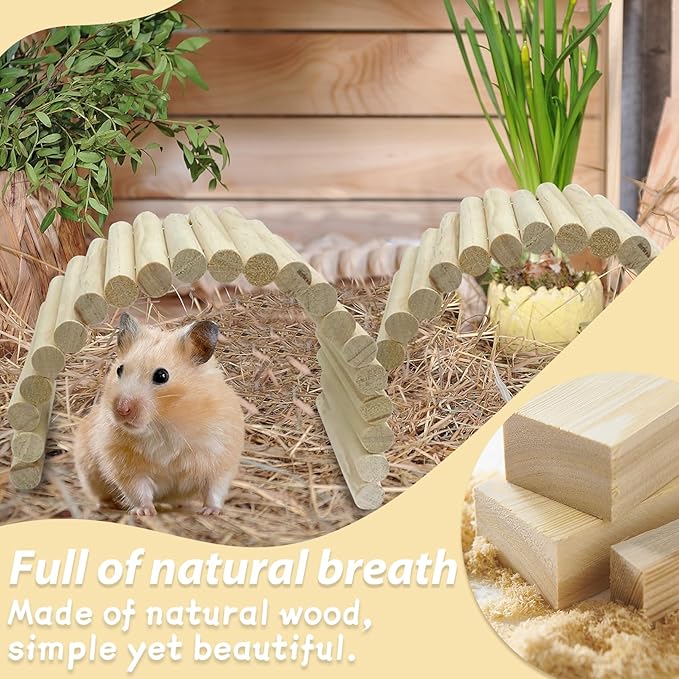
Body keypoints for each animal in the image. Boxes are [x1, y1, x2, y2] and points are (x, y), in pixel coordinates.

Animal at [74, 313, 244, 516]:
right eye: (119, 370)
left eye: (162, 376)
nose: (121, 410)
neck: (163, 423)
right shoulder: (124, 464)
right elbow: (138, 490)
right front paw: (144, 512)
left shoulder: (220, 455)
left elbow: (214, 488)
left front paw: (211, 512)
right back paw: (107, 505)